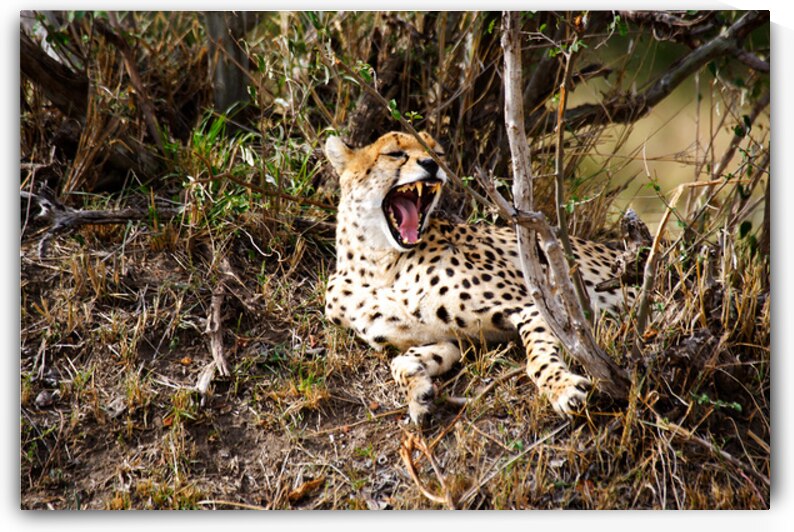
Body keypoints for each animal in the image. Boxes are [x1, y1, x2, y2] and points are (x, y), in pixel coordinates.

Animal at [323, 130, 636, 425]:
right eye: (394, 153)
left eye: (436, 153)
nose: (431, 164)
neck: (380, 264)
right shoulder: (452, 339)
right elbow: (401, 361)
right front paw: (418, 393)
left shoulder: (535, 305)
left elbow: (538, 358)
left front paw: (561, 388)